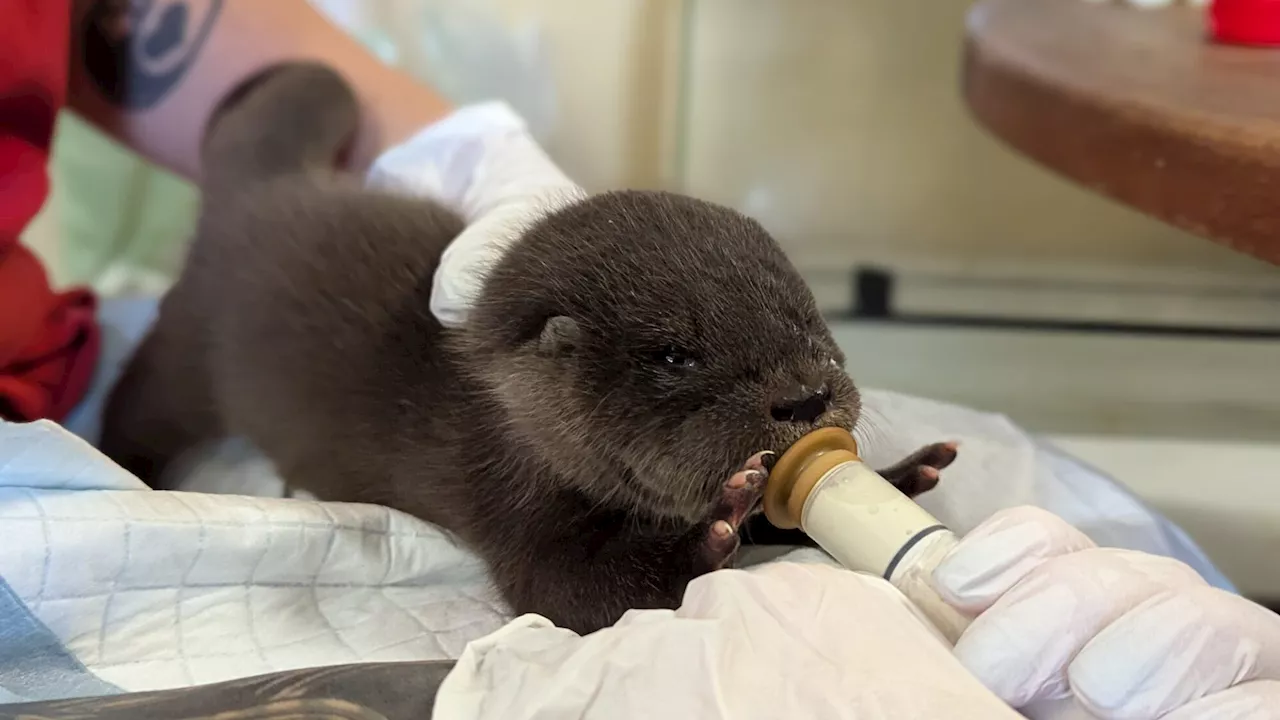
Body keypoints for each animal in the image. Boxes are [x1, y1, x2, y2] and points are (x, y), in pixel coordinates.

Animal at [99, 64, 957, 630]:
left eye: (809, 324)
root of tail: (252, 193)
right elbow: (571, 595)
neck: (507, 417)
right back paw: (125, 470)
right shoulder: (505, 499)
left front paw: (903, 472)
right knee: (135, 402)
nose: (805, 396)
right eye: (676, 357)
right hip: (187, 350)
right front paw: (712, 530)